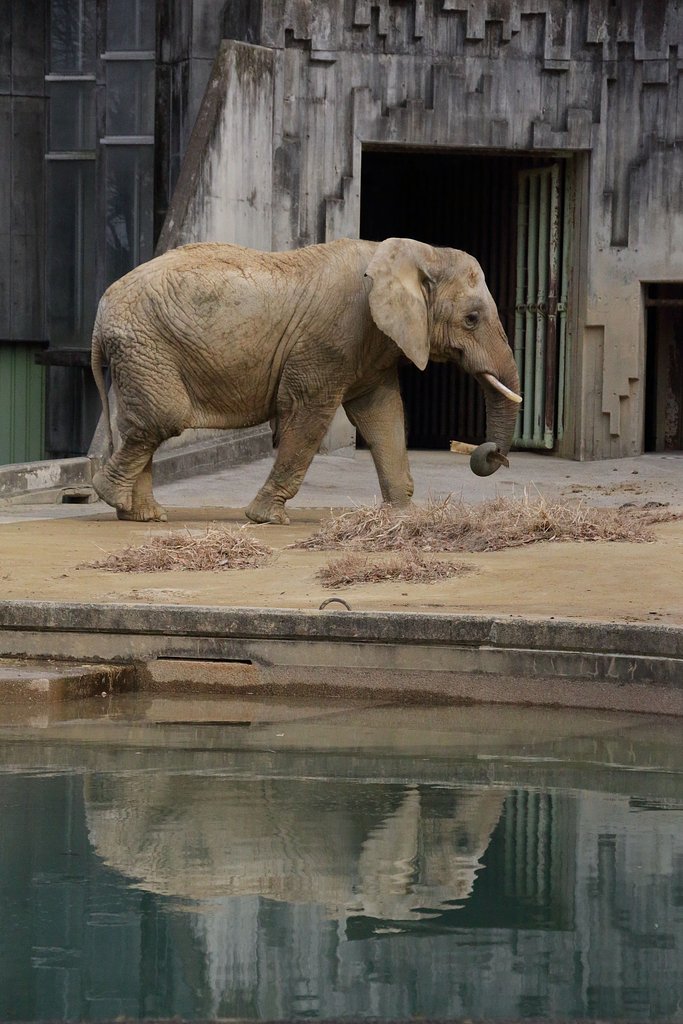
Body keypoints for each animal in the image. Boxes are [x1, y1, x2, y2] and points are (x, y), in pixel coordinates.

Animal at [91, 237, 522, 524]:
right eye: (472, 319)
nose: (491, 454)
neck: (413, 252)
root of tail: (99, 312)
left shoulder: (371, 345)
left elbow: (382, 415)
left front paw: (403, 516)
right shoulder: (332, 338)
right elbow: (310, 414)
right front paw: (266, 518)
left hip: (142, 353)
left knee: (141, 423)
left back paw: (141, 514)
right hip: (147, 346)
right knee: (162, 419)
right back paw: (114, 498)